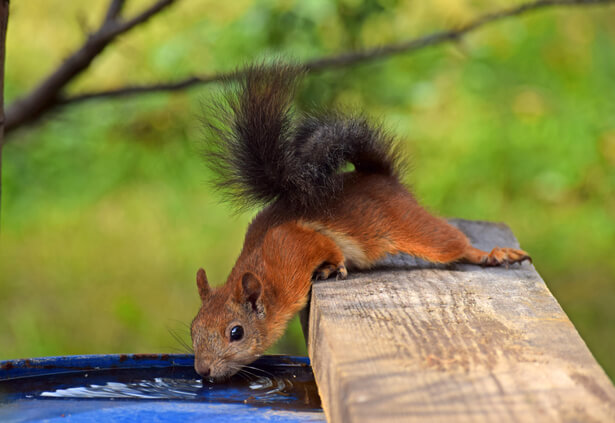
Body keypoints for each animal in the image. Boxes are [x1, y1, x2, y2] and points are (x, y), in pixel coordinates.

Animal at [190, 63, 532, 380]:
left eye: (236, 332)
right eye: (193, 328)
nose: (203, 370)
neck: (265, 273)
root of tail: (379, 175)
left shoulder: (292, 244)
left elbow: (328, 247)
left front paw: (334, 266)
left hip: (410, 226)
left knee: (452, 243)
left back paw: (492, 254)